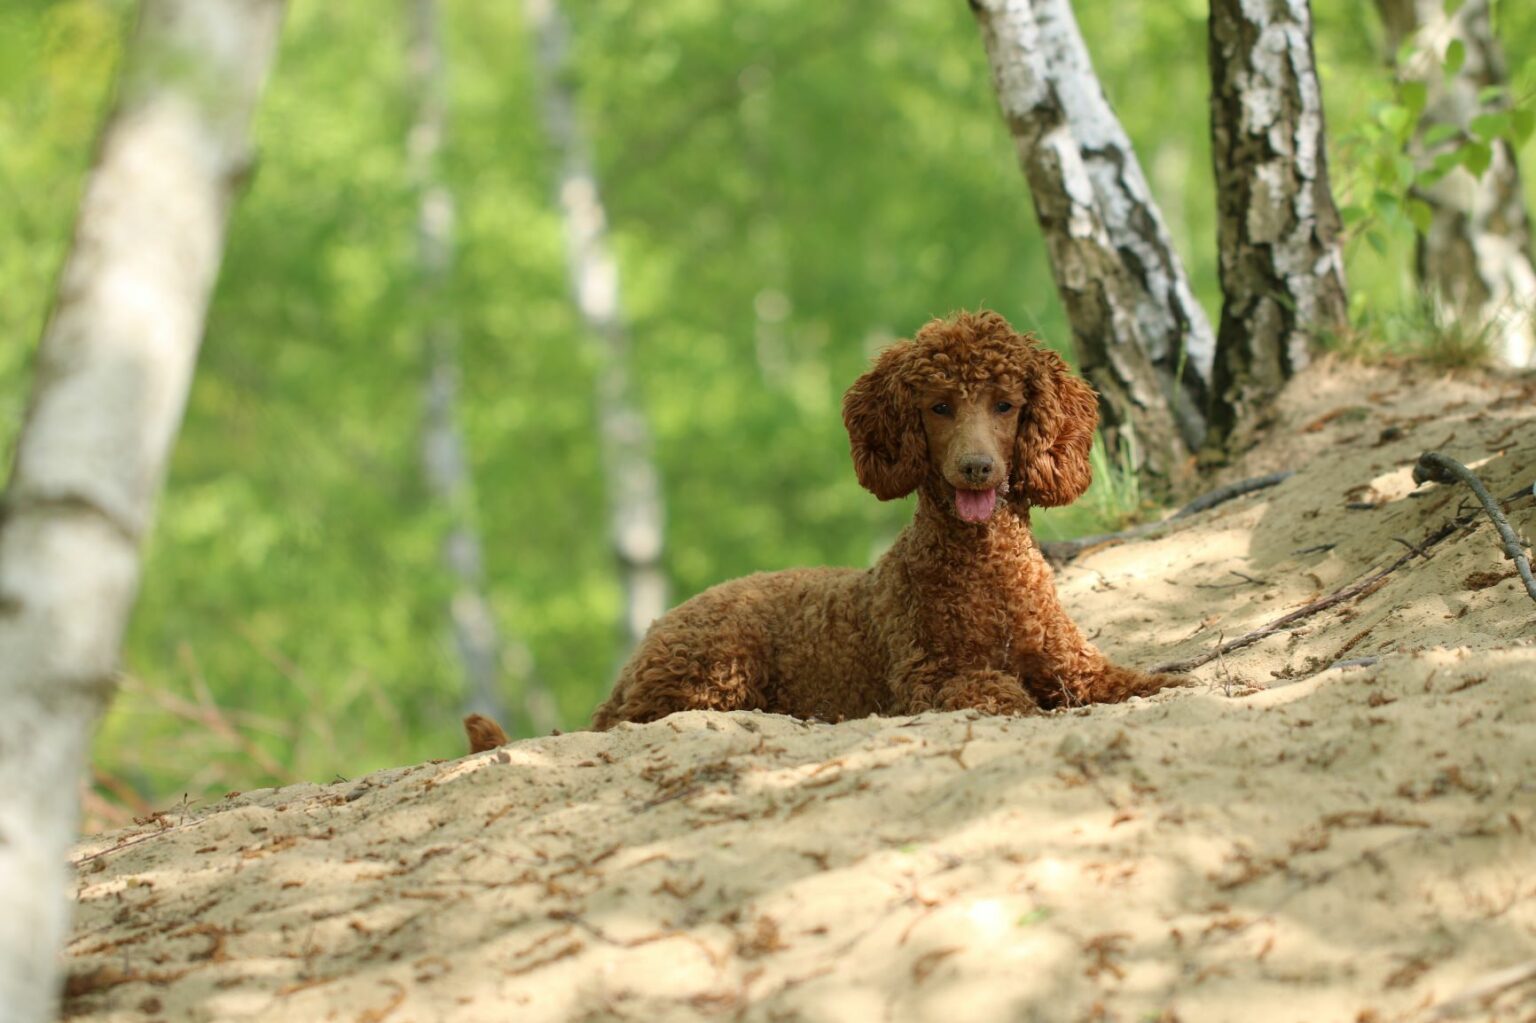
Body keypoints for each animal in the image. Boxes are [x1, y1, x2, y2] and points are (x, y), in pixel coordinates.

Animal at [460, 310, 1167, 749]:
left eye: (1006, 405)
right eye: (940, 406)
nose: (976, 468)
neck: (983, 568)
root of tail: (647, 640)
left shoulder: (1071, 662)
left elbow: (1128, 682)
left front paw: (1162, 684)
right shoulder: (930, 679)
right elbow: (1000, 690)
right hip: (717, 668)